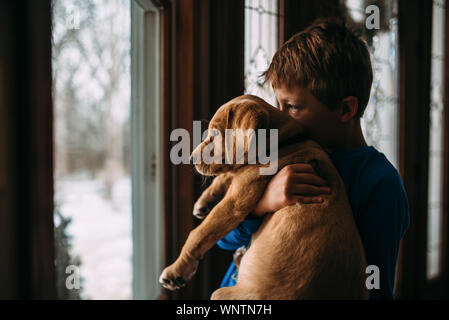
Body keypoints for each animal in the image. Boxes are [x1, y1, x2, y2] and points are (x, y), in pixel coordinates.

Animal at [159, 94, 366, 298]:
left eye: (216, 134)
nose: (191, 158)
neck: (282, 144)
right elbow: (226, 175)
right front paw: (204, 201)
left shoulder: (234, 204)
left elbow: (198, 234)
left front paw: (175, 271)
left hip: (222, 294)